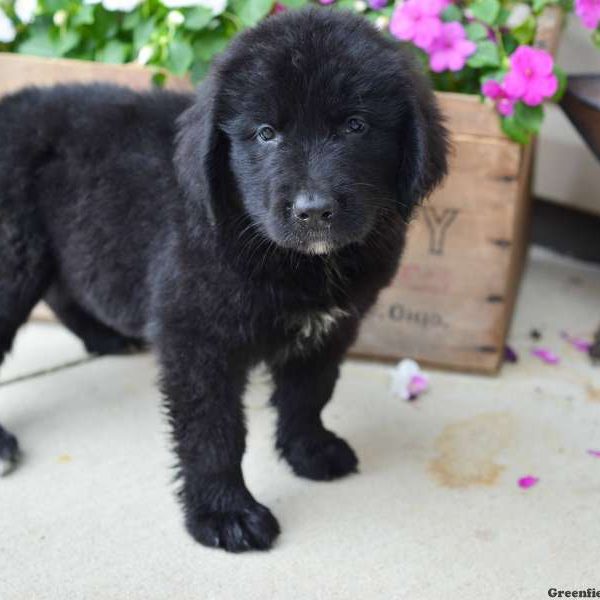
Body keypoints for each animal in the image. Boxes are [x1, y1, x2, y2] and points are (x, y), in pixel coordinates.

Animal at [0, 8, 446, 552]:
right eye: (266, 133)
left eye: (356, 126)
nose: (314, 211)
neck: (293, 260)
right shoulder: (197, 337)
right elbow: (213, 431)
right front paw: (224, 512)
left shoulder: (331, 327)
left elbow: (309, 392)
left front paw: (309, 450)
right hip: (14, 259)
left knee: (64, 289)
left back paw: (105, 336)